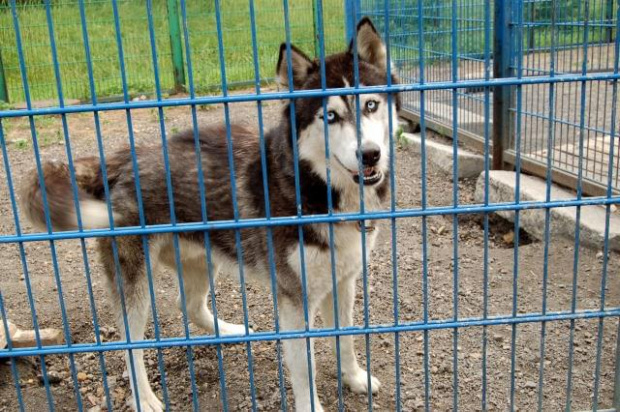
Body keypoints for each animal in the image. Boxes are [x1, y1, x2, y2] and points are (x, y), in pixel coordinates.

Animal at [21, 16, 400, 412]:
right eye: (330, 116)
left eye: (371, 105)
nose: (369, 154)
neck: (319, 190)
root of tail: (117, 159)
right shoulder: (295, 299)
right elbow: (305, 368)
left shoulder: (343, 281)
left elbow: (348, 337)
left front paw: (354, 378)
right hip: (134, 281)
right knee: (129, 343)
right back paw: (144, 398)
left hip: (203, 259)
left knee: (186, 304)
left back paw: (229, 331)